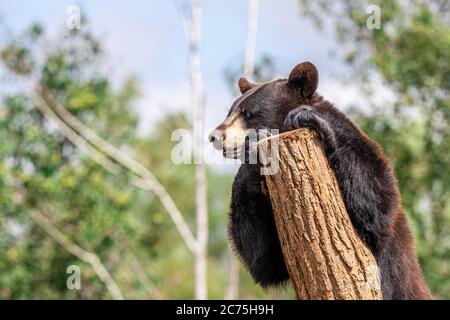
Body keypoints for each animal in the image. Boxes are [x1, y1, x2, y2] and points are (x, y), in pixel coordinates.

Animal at [209, 62, 430, 300]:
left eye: (248, 113)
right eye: (230, 111)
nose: (214, 136)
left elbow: (377, 204)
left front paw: (306, 116)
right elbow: (264, 258)